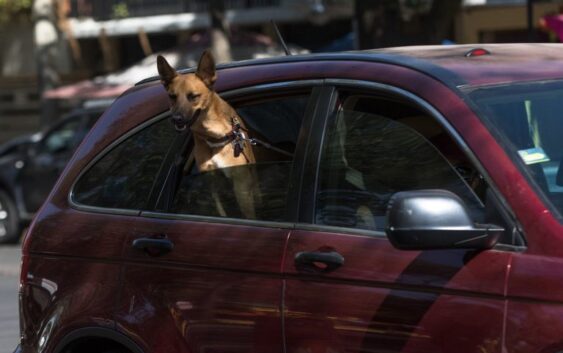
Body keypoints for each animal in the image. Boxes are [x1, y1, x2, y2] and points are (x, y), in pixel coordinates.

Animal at [156, 51, 258, 219]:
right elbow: (220, 211)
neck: (213, 136)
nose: (176, 119)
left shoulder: (241, 184)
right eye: (172, 96)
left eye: (193, 96)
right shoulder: (211, 183)